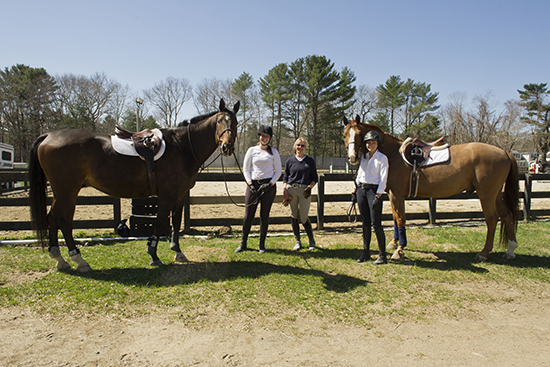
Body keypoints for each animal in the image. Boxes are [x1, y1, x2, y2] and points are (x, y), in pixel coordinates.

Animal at [30, 99, 240, 272]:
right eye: (220, 121)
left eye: (236, 122)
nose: (227, 147)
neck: (182, 147)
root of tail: (48, 136)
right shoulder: (167, 196)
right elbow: (159, 223)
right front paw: (154, 255)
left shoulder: (180, 195)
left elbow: (176, 222)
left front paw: (177, 252)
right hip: (68, 192)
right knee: (64, 222)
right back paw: (79, 260)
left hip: (60, 192)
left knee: (52, 219)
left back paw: (60, 259)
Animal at [344, 116, 520, 264]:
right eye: (345, 135)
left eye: (359, 134)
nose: (352, 157)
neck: (392, 154)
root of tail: (505, 152)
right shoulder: (392, 195)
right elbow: (394, 218)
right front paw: (394, 243)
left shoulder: (397, 195)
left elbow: (400, 219)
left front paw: (399, 250)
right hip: (496, 195)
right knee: (507, 216)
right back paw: (510, 250)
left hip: (486, 195)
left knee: (492, 219)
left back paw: (483, 253)